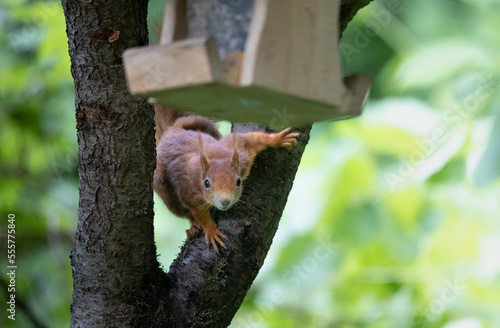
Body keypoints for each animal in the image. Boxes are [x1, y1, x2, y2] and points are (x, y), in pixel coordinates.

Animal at [152, 105, 298, 251]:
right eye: (206, 183)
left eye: (238, 181)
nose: (225, 201)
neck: (216, 158)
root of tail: (171, 131)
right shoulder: (188, 191)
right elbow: (199, 213)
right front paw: (210, 230)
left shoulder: (242, 155)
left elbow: (250, 140)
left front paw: (278, 139)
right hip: (164, 189)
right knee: (183, 211)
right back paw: (193, 227)